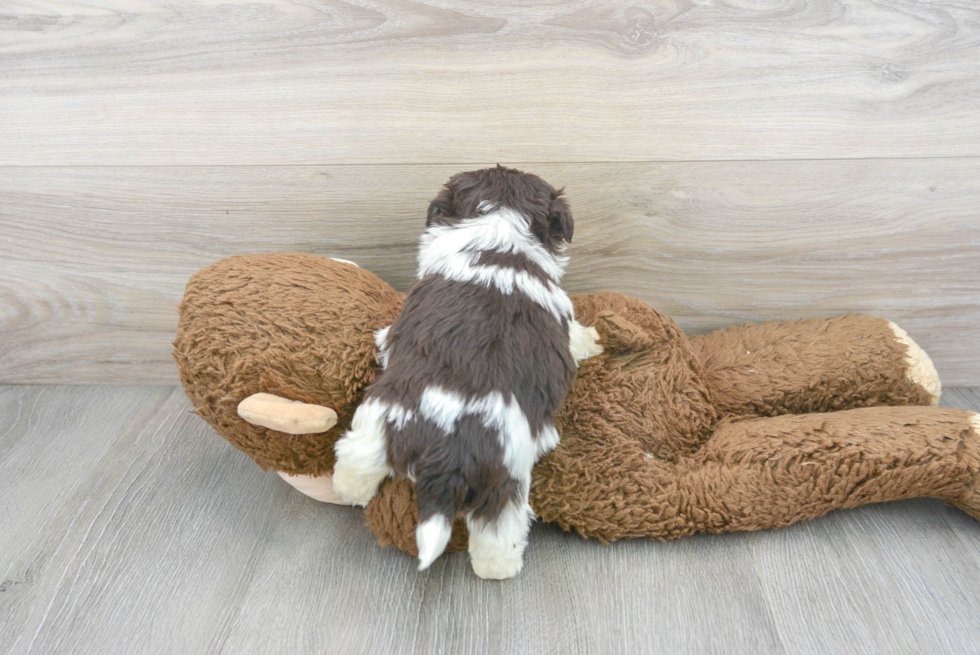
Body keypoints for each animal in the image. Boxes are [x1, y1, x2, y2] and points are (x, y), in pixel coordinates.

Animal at [334, 165, 600, 580]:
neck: (500, 233)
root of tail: (447, 445)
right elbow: (575, 337)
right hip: (500, 480)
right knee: (497, 530)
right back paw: (500, 568)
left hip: (380, 419)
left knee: (355, 461)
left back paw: (349, 493)